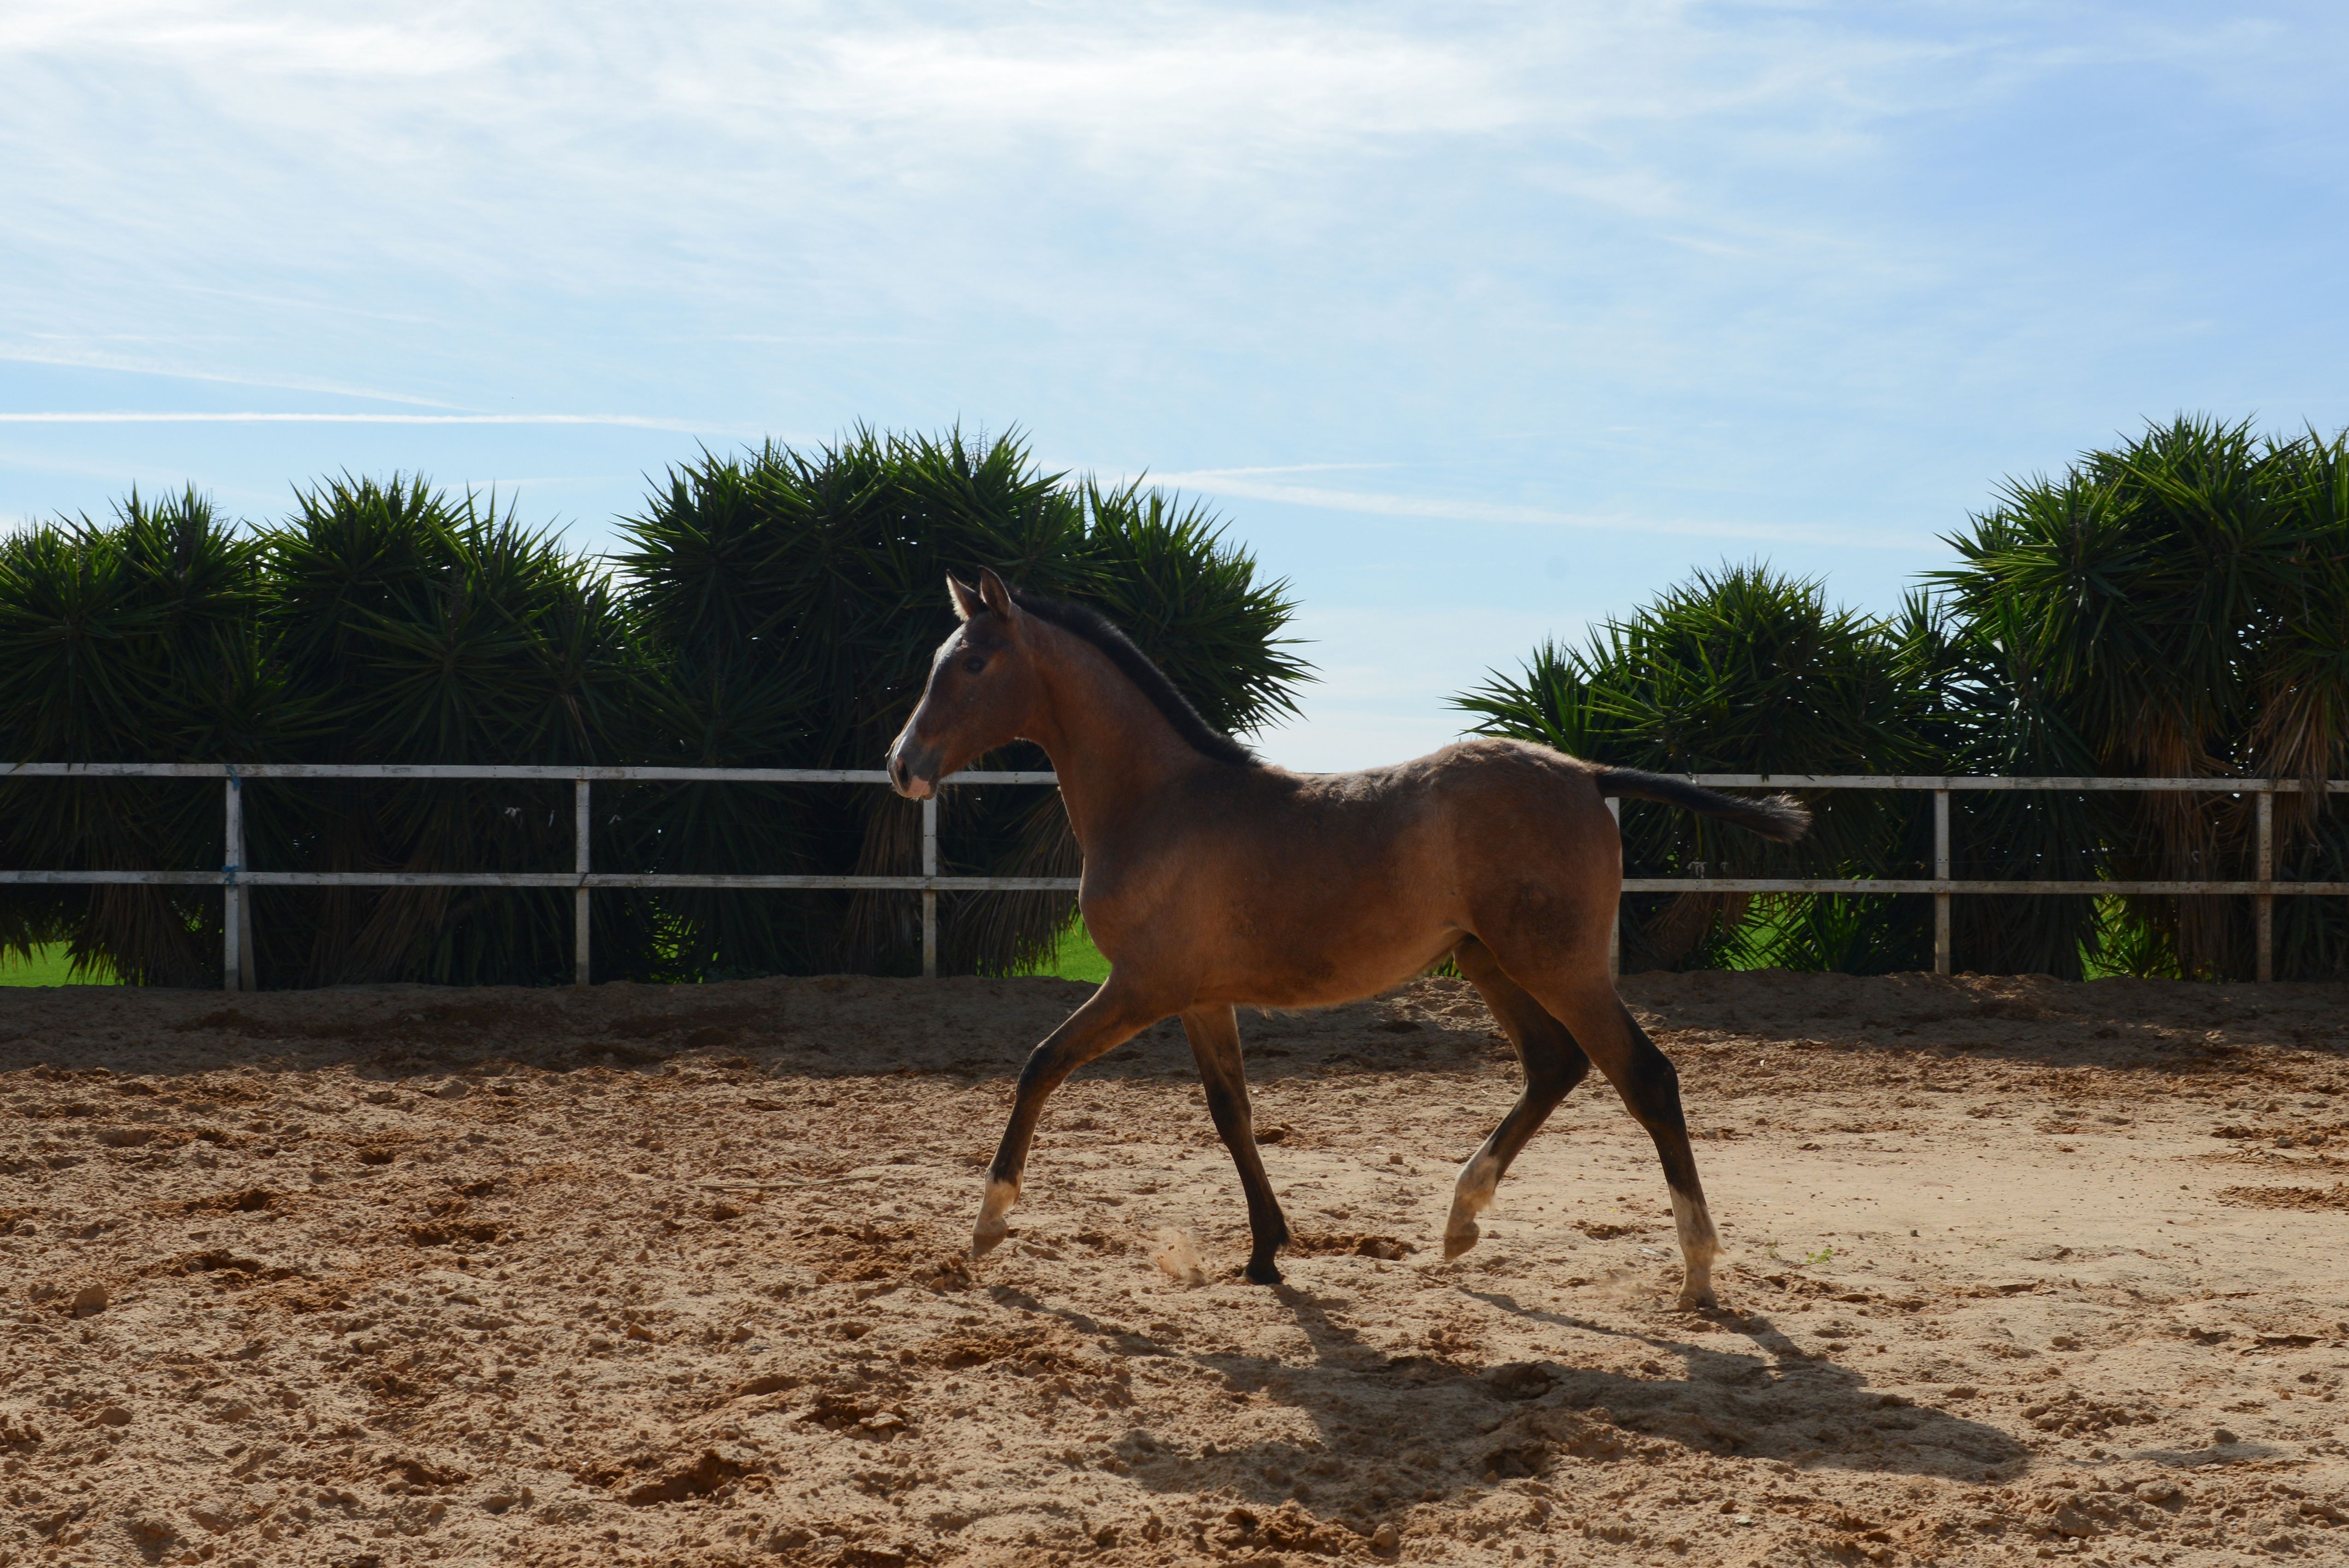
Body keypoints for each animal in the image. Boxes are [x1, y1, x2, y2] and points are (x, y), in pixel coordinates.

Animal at [888, 571, 1804, 1307]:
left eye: (973, 663)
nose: (902, 764)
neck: (1161, 802)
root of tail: (1586, 773)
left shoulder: (1143, 985)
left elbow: (1041, 1063)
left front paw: (988, 1224)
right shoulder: (1200, 996)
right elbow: (1232, 1111)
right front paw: (1265, 1251)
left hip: (1560, 965)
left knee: (1645, 1076)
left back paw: (1695, 1270)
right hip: (1490, 959)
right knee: (1555, 1065)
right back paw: (1460, 1223)